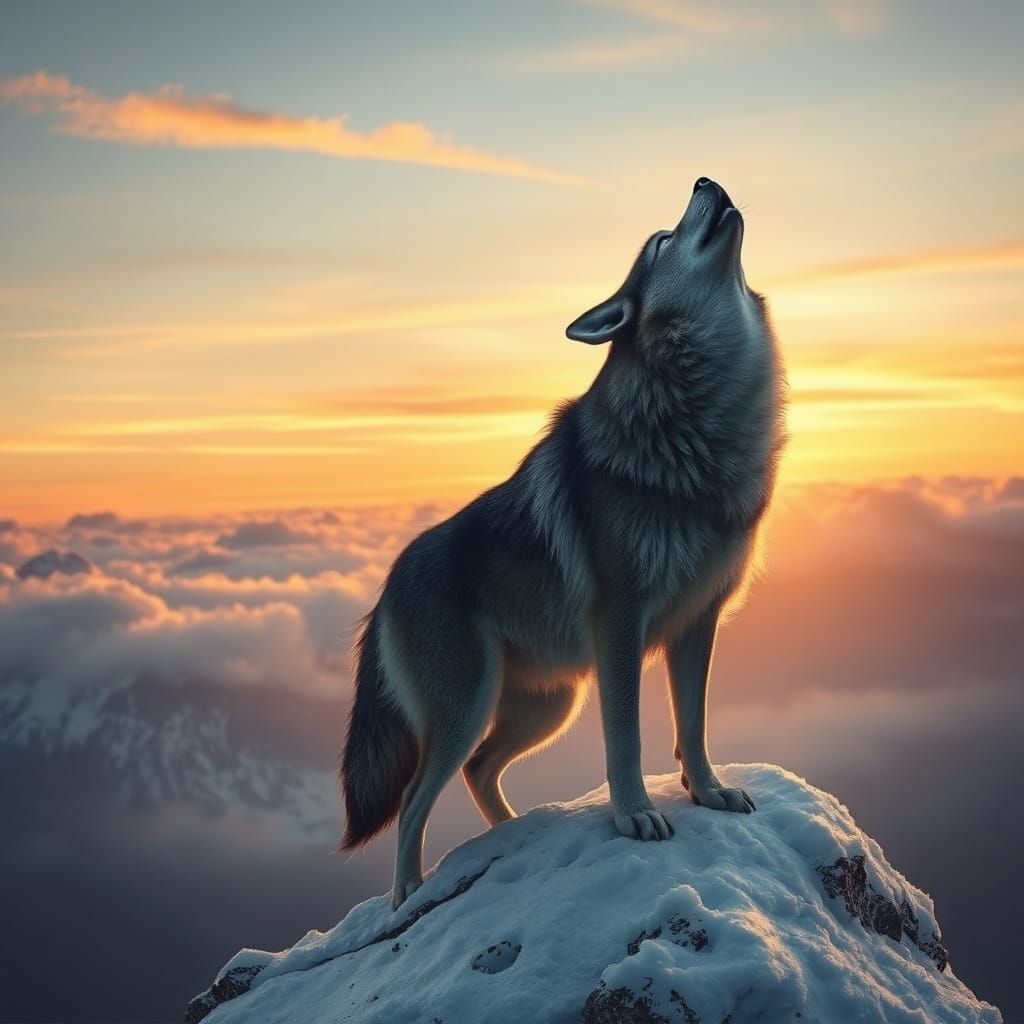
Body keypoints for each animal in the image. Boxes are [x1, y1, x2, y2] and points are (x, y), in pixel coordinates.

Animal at [341, 177, 786, 908]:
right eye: (660, 240)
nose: (705, 181)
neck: (697, 423)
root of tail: (384, 589)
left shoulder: (698, 623)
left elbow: (692, 726)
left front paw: (709, 792)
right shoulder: (621, 624)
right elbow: (626, 739)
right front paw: (635, 816)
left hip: (546, 706)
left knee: (480, 770)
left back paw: (511, 835)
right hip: (470, 707)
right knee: (410, 803)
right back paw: (410, 896)